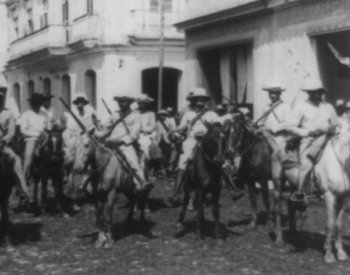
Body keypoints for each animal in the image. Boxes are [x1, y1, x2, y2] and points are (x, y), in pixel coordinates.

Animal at [274, 133, 350, 264]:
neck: (340, 164)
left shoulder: (344, 198)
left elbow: (339, 225)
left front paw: (341, 253)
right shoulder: (329, 196)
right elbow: (330, 224)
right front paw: (329, 254)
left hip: (294, 186)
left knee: (291, 205)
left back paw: (295, 236)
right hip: (278, 185)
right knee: (278, 210)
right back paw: (279, 239)